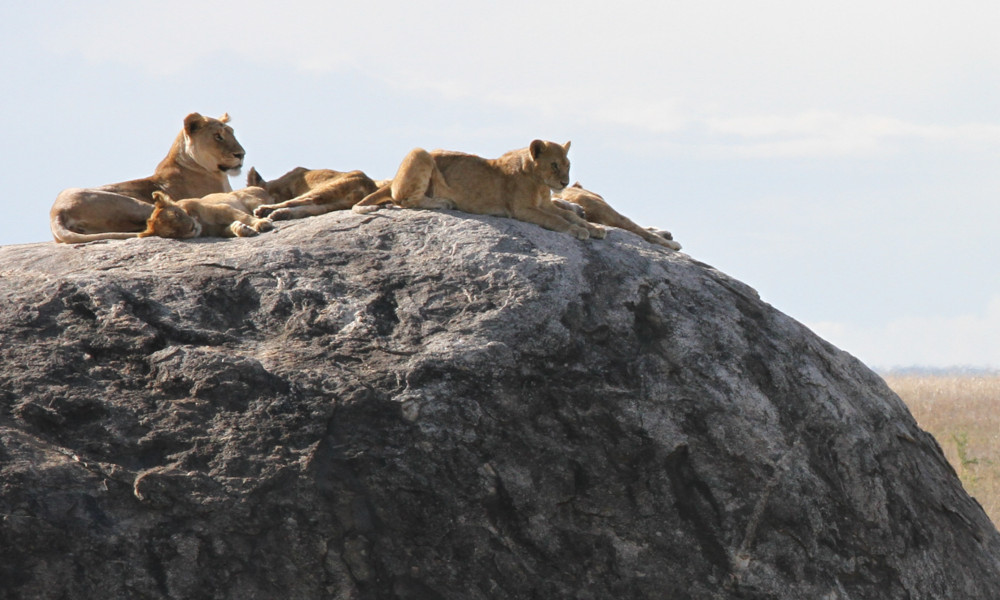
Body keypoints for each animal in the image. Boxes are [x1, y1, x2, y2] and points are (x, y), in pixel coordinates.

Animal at [137, 189, 276, 238]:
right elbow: (229, 229)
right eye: (173, 233)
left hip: (248, 198)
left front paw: (261, 223)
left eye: (177, 214)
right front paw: (243, 229)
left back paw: (265, 212)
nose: (191, 228)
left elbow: (244, 216)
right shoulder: (218, 231)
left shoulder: (223, 209)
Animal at [245, 165, 378, 219]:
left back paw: (263, 210)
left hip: (326, 188)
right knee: (312, 208)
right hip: (336, 202)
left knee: (301, 201)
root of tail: (370, 185)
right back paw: (280, 214)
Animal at [348, 141, 604, 241]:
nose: (565, 183)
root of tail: (392, 179)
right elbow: (556, 220)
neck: (541, 184)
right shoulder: (522, 209)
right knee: (403, 199)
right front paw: (577, 231)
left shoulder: (546, 204)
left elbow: (568, 213)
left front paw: (593, 228)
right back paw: (443, 202)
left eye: (567, 165)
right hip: (420, 153)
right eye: (554, 165)